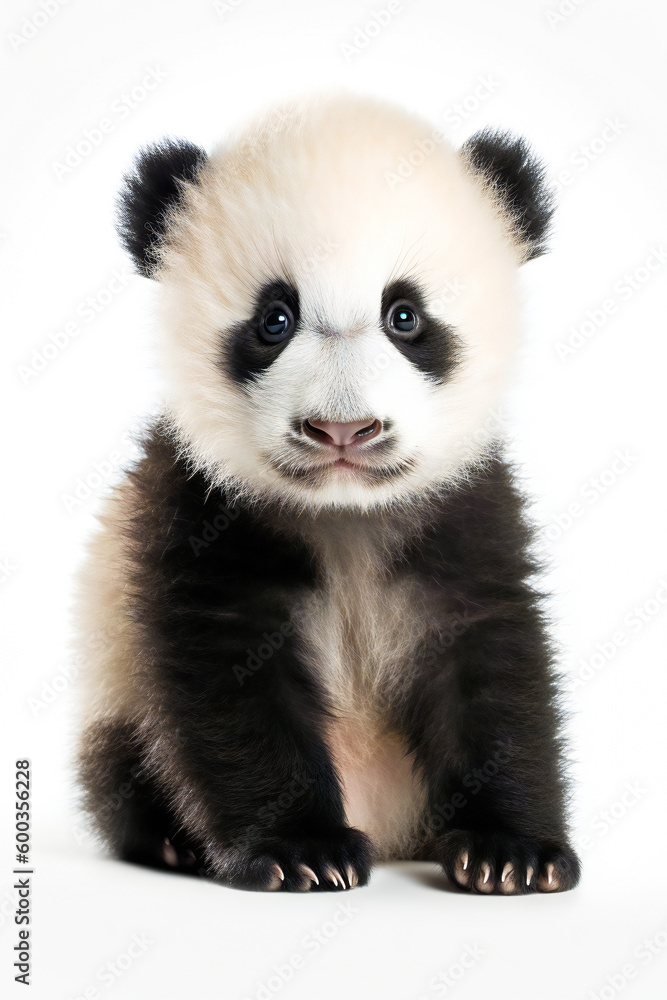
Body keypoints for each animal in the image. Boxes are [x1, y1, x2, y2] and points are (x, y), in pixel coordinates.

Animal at [76, 93, 581, 895]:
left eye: (404, 316)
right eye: (273, 320)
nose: (342, 429)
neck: (346, 514)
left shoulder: (468, 511)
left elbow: (494, 662)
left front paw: (512, 853)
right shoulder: (196, 509)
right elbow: (232, 681)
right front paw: (303, 851)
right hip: (111, 681)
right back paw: (171, 842)